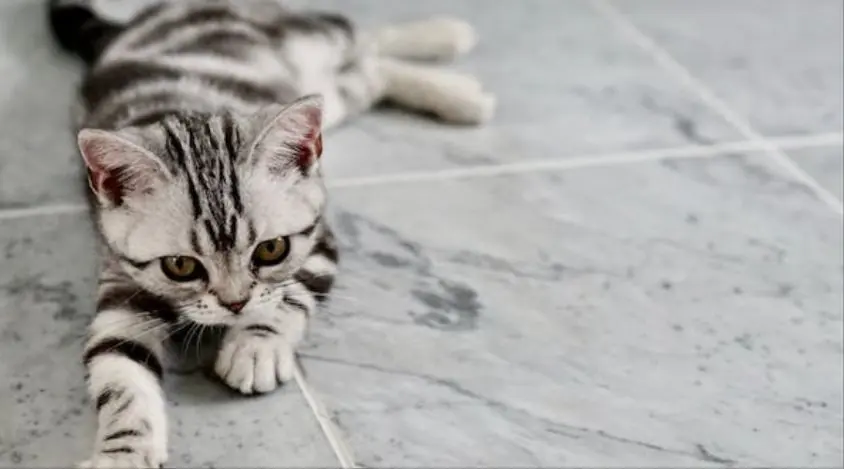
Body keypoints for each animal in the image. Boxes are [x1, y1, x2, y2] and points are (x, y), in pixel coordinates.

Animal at [47, 0, 494, 464]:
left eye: (271, 250)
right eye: (181, 266)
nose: (235, 304)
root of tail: (133, 25)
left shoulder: (318, 239)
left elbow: (291, 293)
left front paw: (254, 346)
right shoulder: (121, 284)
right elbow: (120, 371)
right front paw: (124, 451)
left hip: (306, 40)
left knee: (358, 37)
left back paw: (449, 49)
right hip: (328, 96)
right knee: (366, 75)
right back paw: (458, 87)